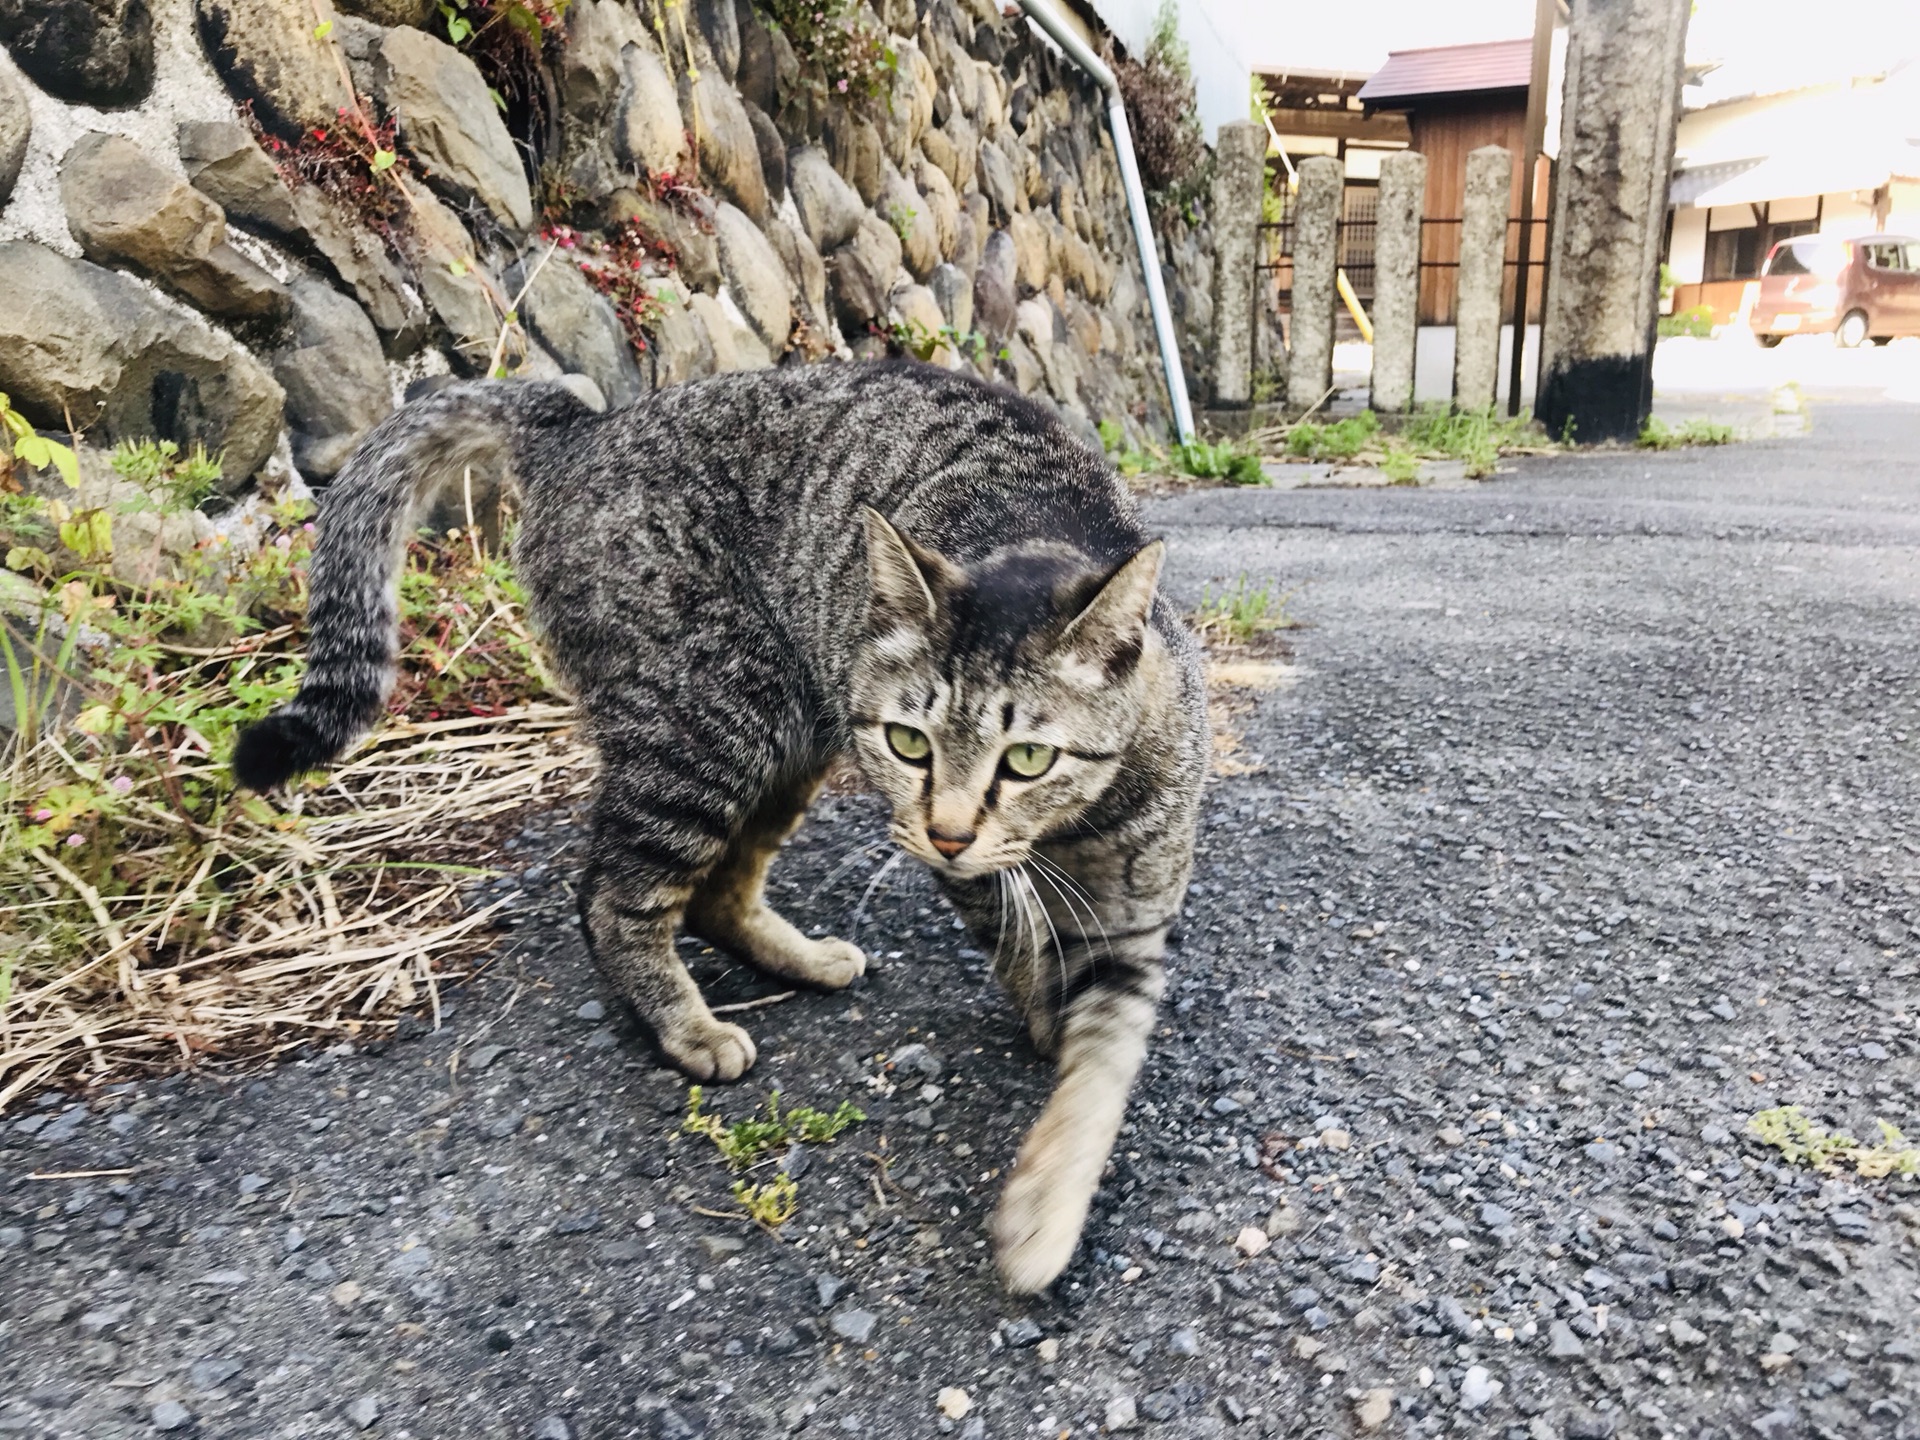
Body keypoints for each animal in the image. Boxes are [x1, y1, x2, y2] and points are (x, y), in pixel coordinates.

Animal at [236, 362, 1198, 1297]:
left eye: (1027, 759)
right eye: (909, 744)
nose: (948, 833)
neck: (1074, 828)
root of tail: (583, 425)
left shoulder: (1137, 915)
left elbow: (1100, 1067)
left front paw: (1052, 1156)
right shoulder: (973, 874)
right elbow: (1026, 955)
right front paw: (1042, 1178)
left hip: (786, 737)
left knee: (715, 894)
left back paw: (801, 961)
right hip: (709, 726)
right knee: (612, 896)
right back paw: (687, 1027)